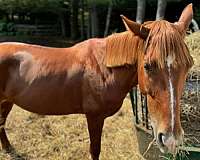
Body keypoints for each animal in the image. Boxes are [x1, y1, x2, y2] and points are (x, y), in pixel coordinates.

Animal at [0, 3, 194, 159]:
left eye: (189, 65)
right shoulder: (94, 117)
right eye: (147, 66)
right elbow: (95, 150)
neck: (105, 68)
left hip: (6, 101)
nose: (171, 140)